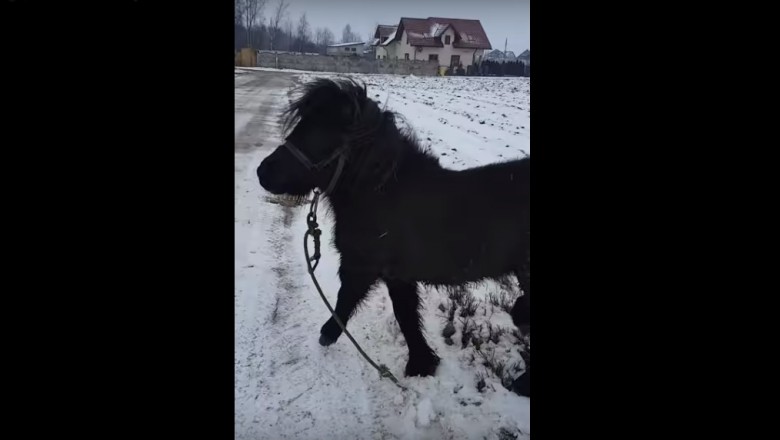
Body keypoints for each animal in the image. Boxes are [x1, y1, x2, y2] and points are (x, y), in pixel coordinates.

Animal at [256, 78, 532, 396]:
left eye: (319, 131)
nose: (263, 172)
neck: (382, 192)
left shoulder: (367, 268)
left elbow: (353, 302)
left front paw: (330, 335)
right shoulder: (395, 275)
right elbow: (405, 315)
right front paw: (422, 364)